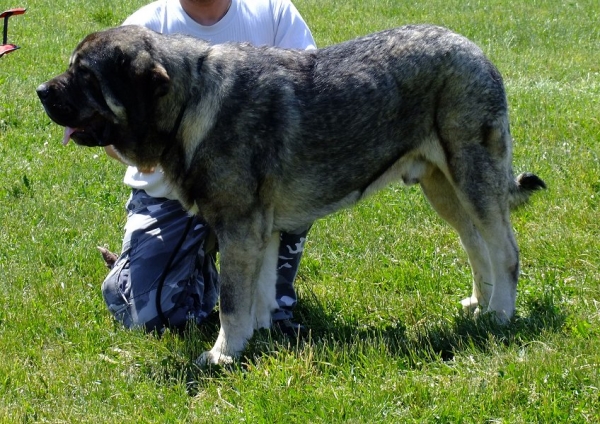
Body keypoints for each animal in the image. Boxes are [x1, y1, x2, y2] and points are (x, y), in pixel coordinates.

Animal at [36, 24, 544, 366]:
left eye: (85, 75)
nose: (40, 90)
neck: (190, 102)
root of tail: (476, 51)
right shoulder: (260, 232)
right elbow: (258, 293)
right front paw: (260, 338)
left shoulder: (238, 230)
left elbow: (232, 302)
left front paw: (223, 354)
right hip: (444, 188)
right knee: (475, 244)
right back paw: (479, 304)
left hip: (473, 177)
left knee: (505, 250)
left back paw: (500, 315)